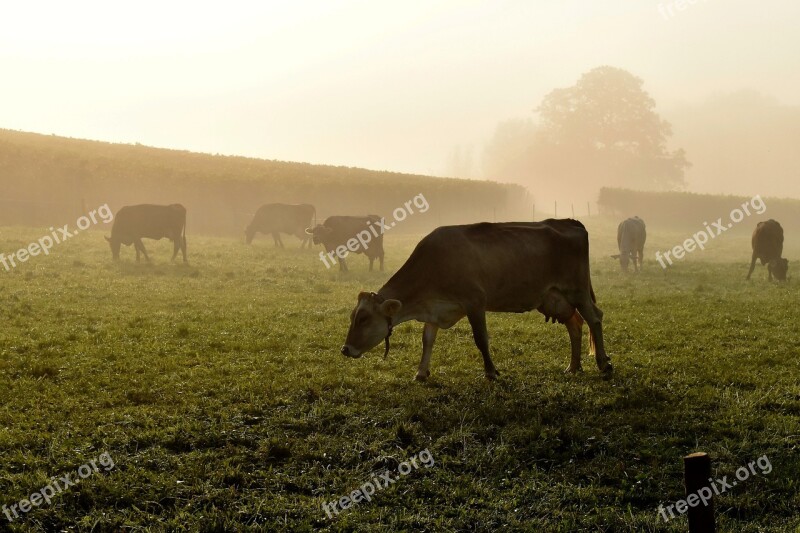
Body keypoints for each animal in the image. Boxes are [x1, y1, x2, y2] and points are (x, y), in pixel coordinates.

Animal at [340, 218, 612, 380]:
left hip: (577, 291)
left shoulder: (475, 302)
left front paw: (491, 372)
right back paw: (573, 366)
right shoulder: (434, 310)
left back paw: (603, 363)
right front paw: (421, 373)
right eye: (353, 317)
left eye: (363, 319)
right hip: (555, 298)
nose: (345, 349)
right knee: (575, 324)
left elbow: (481, 339)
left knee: (595, 318)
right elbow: (427, 341)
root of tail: (568, 222)